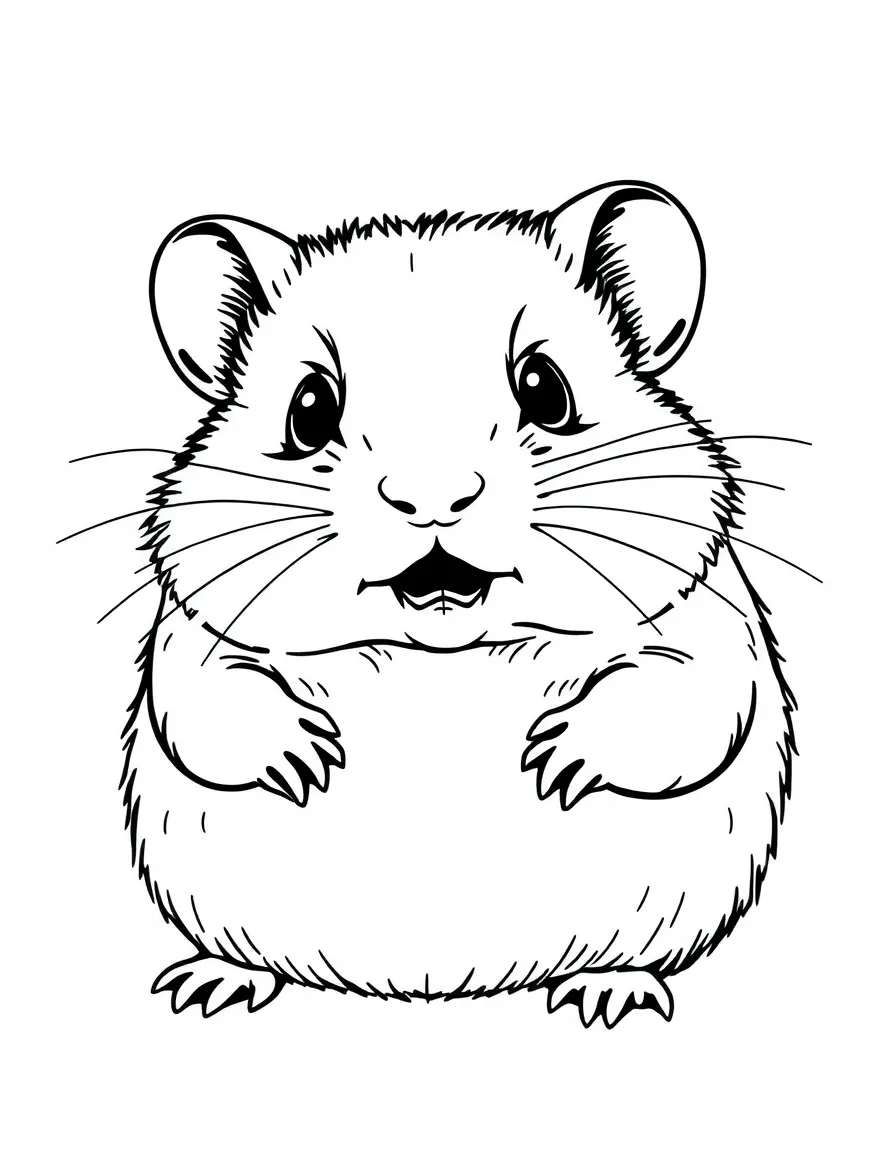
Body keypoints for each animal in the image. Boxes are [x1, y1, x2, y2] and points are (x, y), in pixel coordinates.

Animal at [116, 181, 795, 1027]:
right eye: (310, 409)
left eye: (545, 389)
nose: (432, 500)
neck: (446, 645)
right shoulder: (198, 631)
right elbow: (208, 699)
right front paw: (309, 758)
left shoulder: (697, 621)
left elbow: (677, 694)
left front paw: (554, 760)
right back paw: (211, 986)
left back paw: (609, 994)